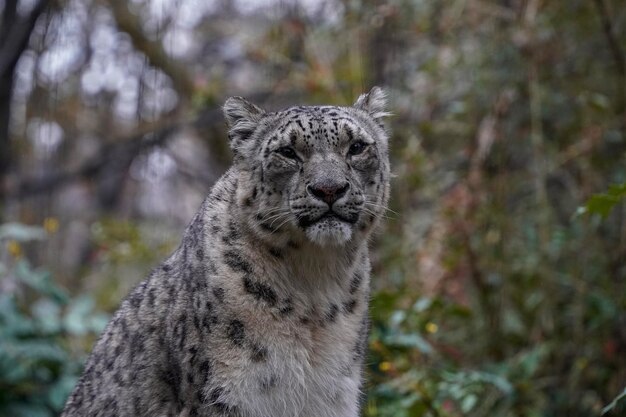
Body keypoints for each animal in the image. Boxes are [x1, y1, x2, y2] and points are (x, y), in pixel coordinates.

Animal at [59, 86, 390, 414]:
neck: (315, 285)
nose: (329, 189)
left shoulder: (333, 396)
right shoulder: (225, 395)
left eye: (357, 146)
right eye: (287, 152)